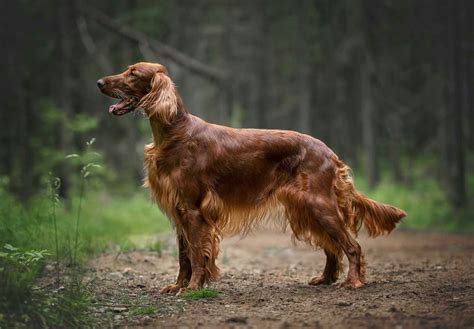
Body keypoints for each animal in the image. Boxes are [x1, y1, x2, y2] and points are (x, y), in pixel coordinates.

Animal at [97, 62, 408, 294]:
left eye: (132, 73)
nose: (99, 82)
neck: (174, 133)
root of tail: (329, 152)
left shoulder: (194, 210)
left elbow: (197, 254)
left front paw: (194, 287)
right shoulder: (179, 210)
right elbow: (184, 255)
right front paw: (177, 285)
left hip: (319, 204)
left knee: (351, 246)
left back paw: (353, 281)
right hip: (306, 208)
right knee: (333, 247)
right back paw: (326, 278)